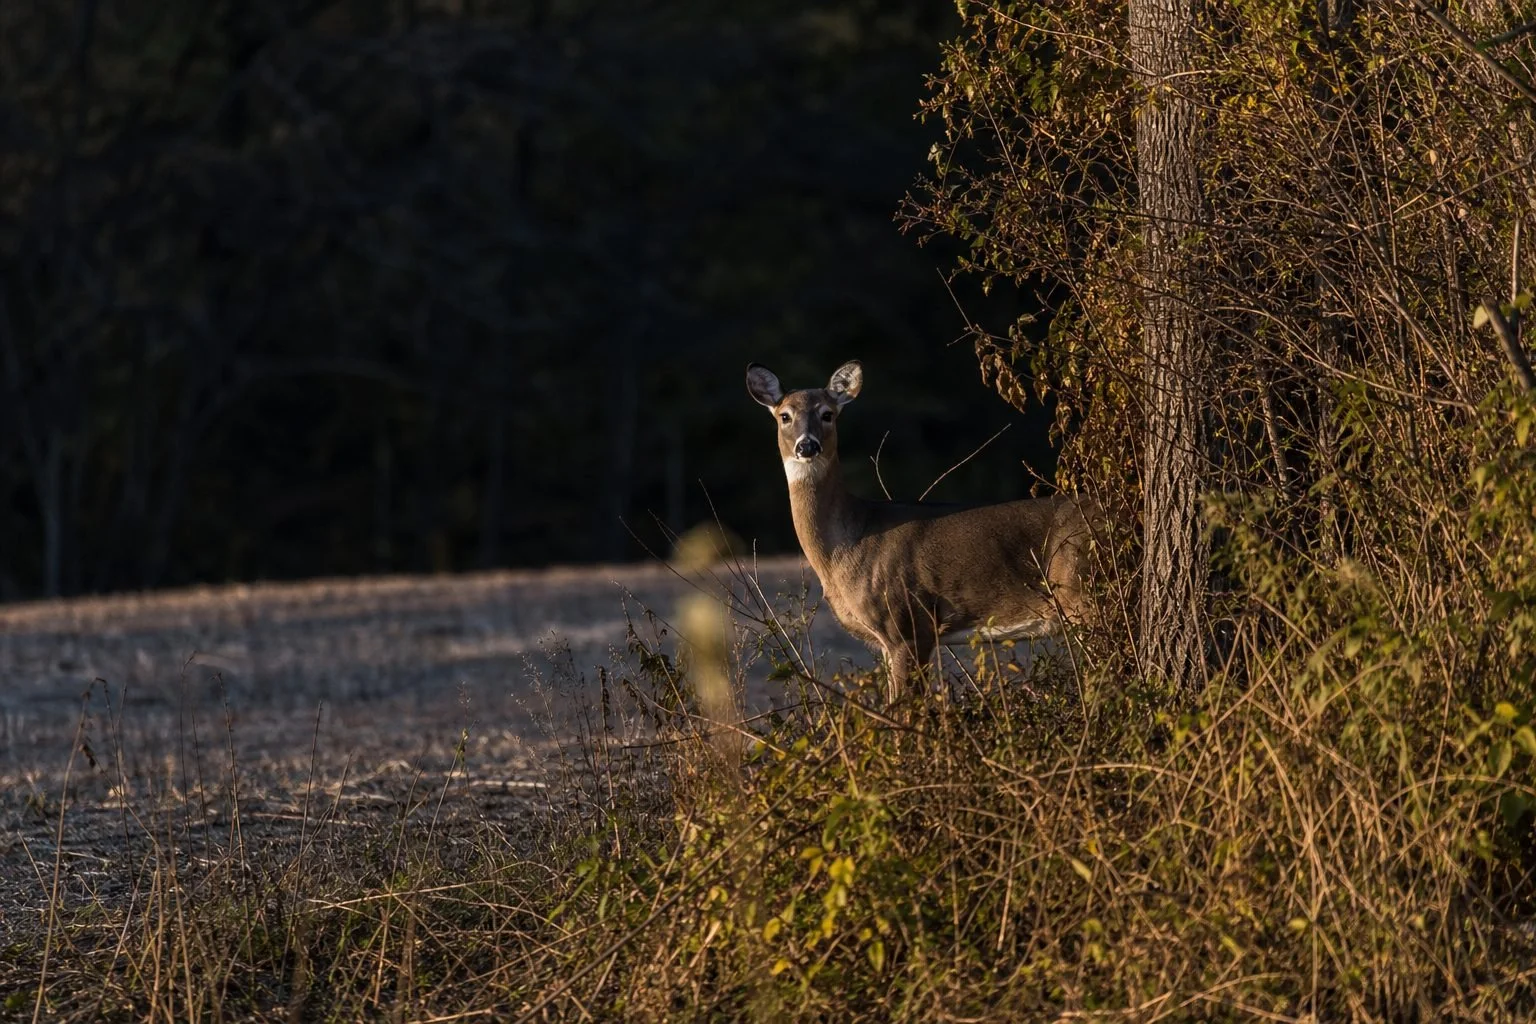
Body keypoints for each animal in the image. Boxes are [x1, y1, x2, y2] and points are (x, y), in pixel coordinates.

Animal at [746, 360, 1095, 704]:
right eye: (785, 415)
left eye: (827, 414)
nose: (807, 445)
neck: (848, 544)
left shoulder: (908, 624)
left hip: (1082, 592)